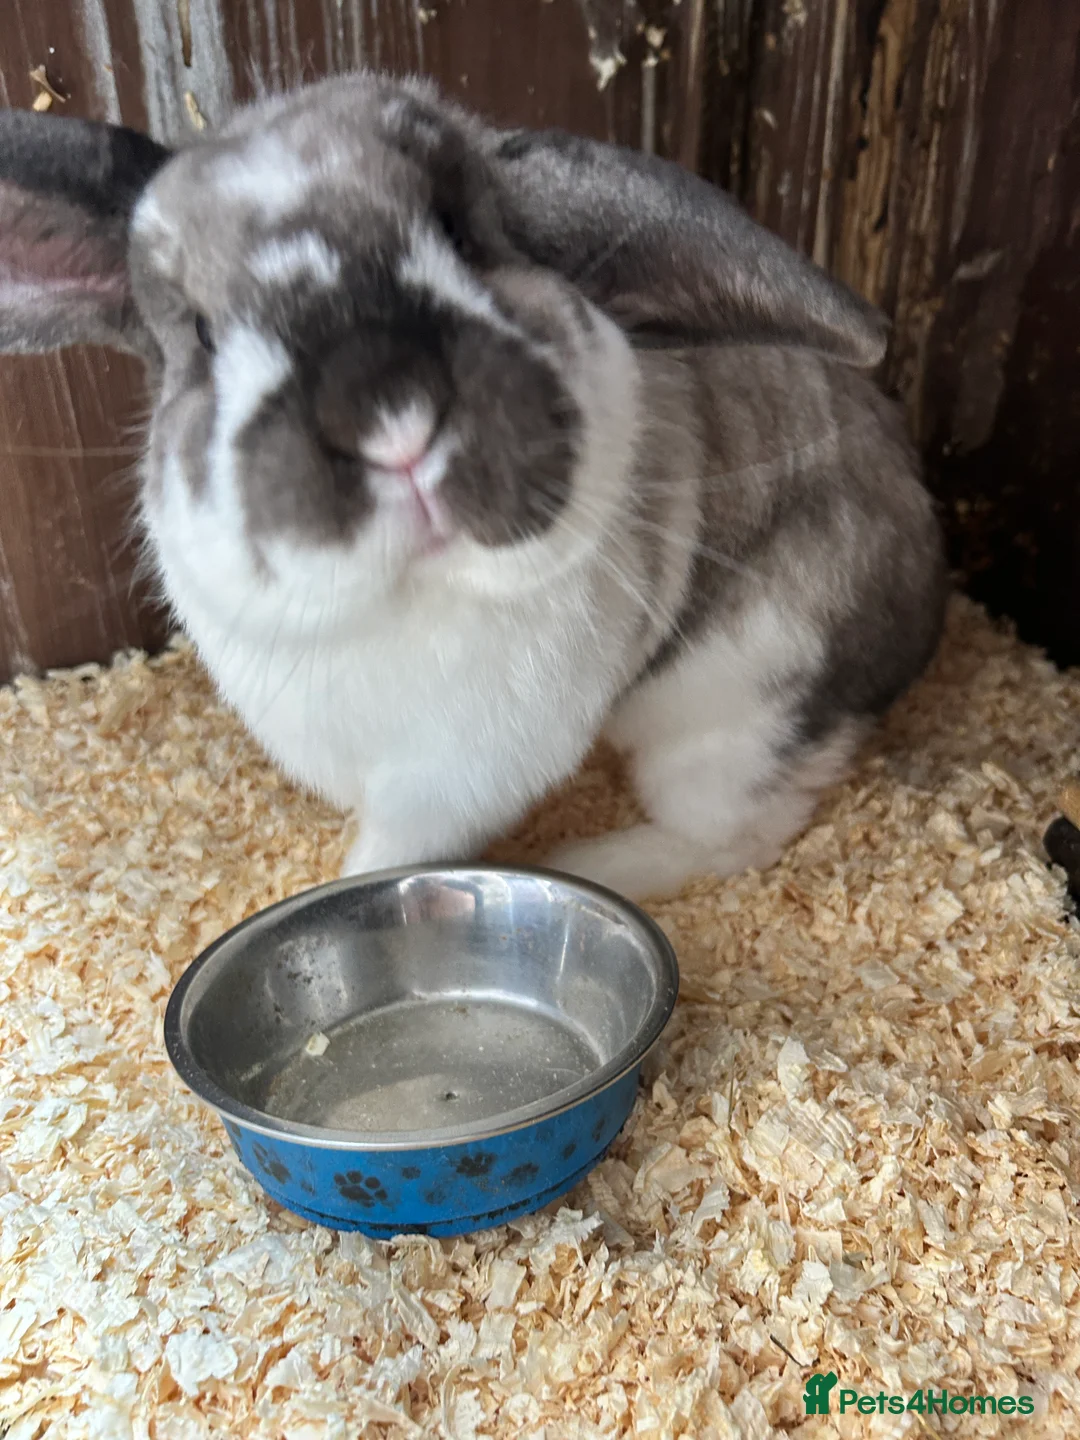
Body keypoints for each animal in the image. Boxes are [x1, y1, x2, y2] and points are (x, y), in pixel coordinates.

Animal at [0, 73, 947, 901]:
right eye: (200, 331)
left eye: (459, 235)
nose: (392, 420)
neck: (410, 593)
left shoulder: (453, 780)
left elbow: (392, 854)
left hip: (734, 705)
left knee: (742, 828)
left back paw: (595, 863)